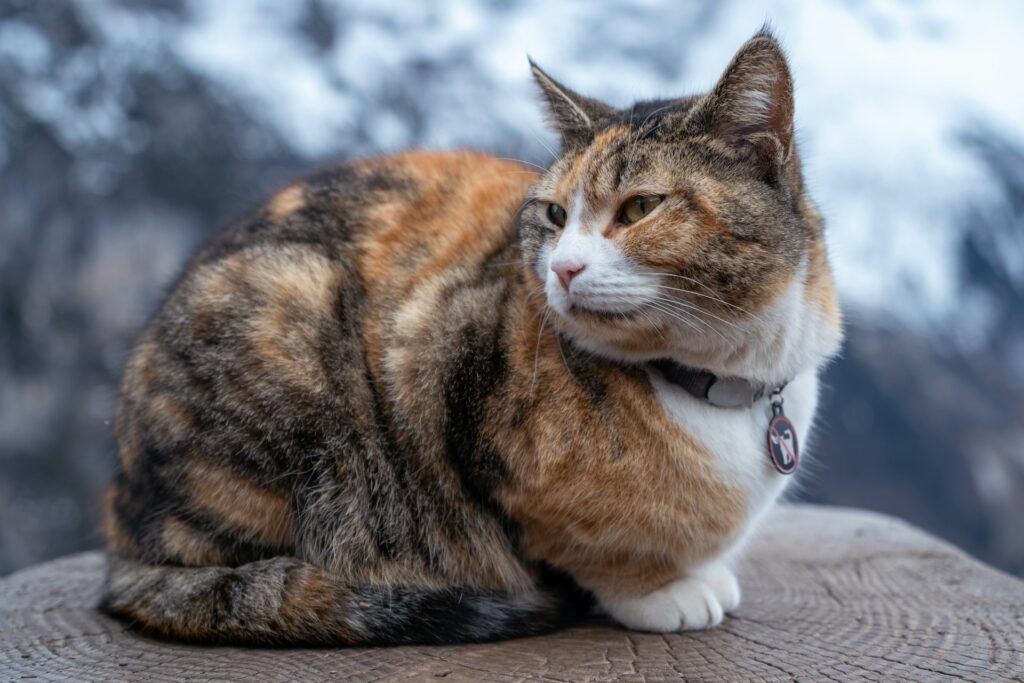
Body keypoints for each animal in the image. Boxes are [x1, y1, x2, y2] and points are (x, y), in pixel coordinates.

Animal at [99, 28, 843, 647]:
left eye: (639, 208)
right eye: (555, 215)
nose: (563, 268)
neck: (717, 381)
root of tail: (122, 534)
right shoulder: (444, 365)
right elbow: (593, 547)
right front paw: (661, 592)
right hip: (289, 317)